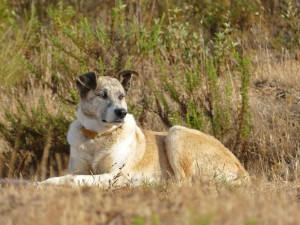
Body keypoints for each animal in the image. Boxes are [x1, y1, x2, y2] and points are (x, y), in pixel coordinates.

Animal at [41, 71, 248, 187]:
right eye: (102, 95)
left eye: (121, 96)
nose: (122, 112)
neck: (97, 136)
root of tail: (243, 171)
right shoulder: (79, 168)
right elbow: (71, 176)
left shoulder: (115, 175)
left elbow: (72, 180)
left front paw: (47, 184)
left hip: (176, 132)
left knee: (183, 183)